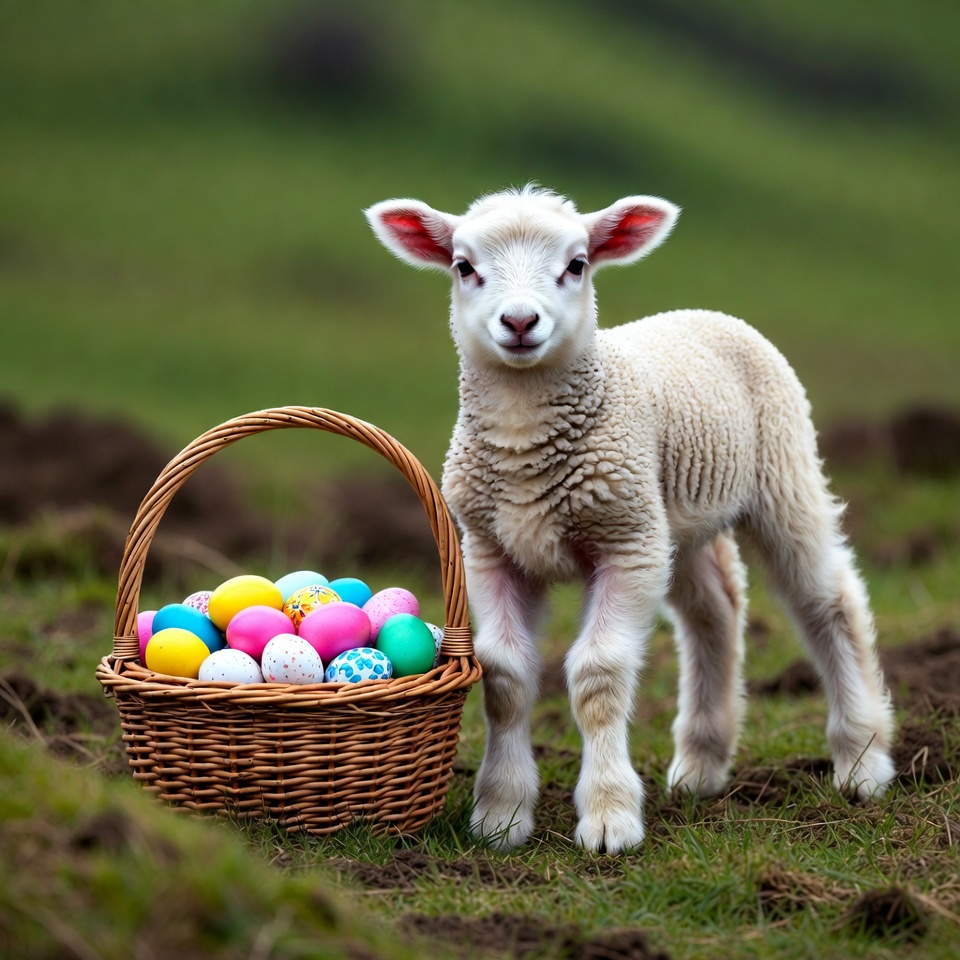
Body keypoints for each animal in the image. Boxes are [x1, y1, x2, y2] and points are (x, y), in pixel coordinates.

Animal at [364, 185, 896, 854]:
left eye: (577, 264)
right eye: (464, 267)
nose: (520, 323)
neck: (523, 436)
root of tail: (700, 312)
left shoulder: (626, 545)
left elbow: (599, 675)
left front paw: (609, 818)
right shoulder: (491, 548)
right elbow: (506, 677)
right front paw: (501, 815)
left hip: (780, 469)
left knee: (828, 599)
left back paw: (862, 761)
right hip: (674, 518)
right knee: (715, 610)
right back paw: (702, 763)